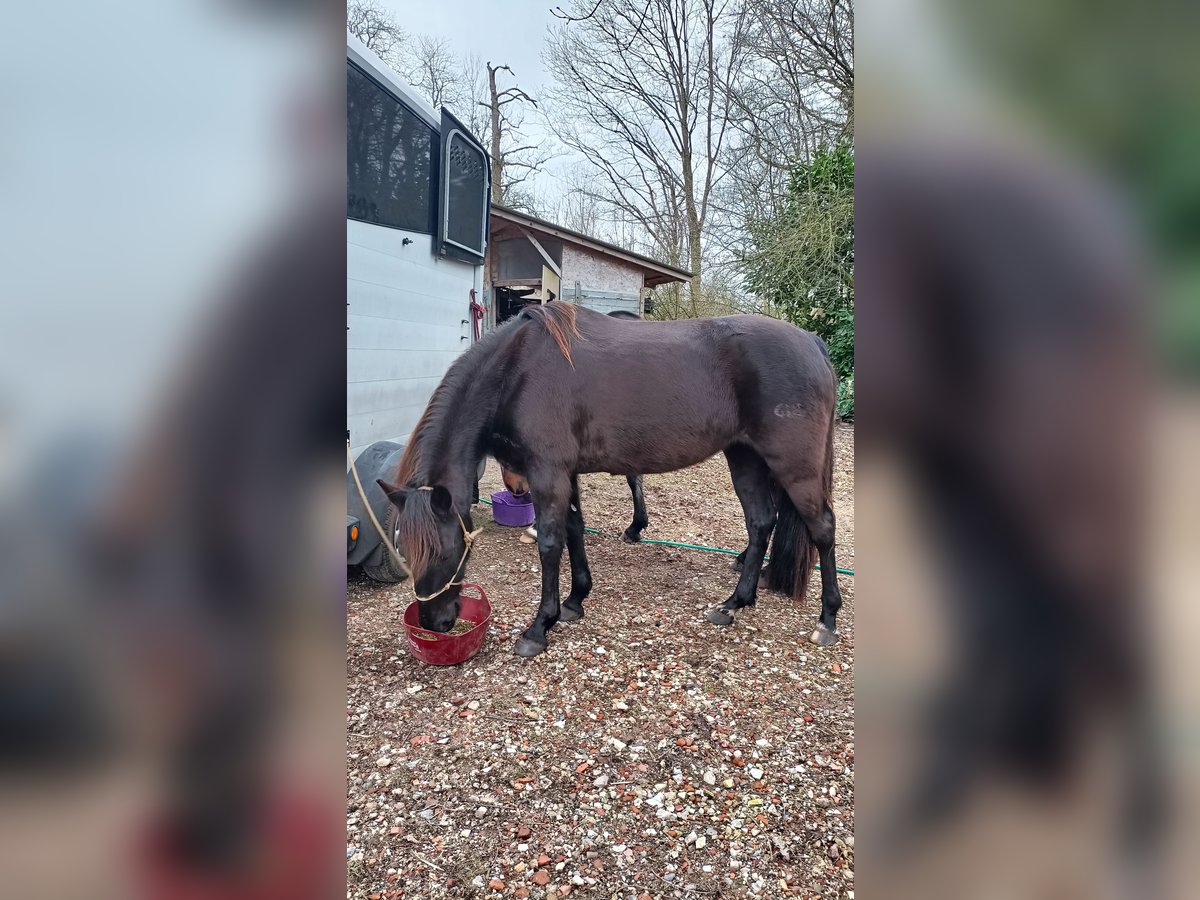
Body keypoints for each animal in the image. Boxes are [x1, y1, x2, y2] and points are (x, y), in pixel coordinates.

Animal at [379, 307, 840, 657]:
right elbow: (574, 529)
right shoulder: (565, 473)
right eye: (405, 549)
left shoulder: (547, 472)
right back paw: (734, 604)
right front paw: (574, 601)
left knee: (822, 528)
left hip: (793, 466)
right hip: (744, 457)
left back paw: (827, 620)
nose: (434, 623)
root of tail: (811, 342)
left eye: (445, 551)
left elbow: (550, 544)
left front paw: (539, 627)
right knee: (761, 523)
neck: (517, 369)